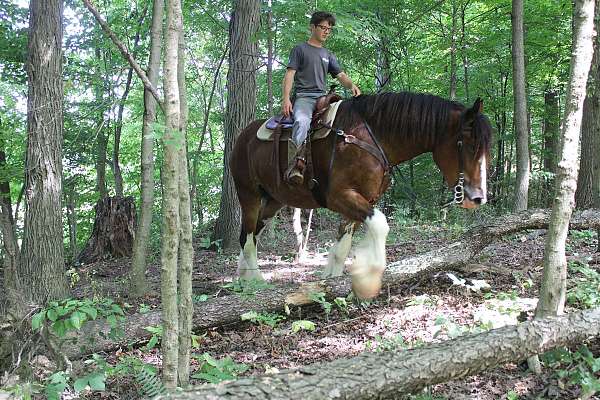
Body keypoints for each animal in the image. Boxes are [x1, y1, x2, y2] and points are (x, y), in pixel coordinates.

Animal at [230, 92, 492, 298]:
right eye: (468, 145)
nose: (478, 198)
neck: (371, 138)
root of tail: (242, 136)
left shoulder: (362, 201)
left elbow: (342, 248)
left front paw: (331, 282)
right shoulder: (339, 197)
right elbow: (380, 225)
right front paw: (369, 278)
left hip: (273, 200)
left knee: (250, 233)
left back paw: (242, 277)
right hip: (248, 194)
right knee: (248, 236)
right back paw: (256, 282)